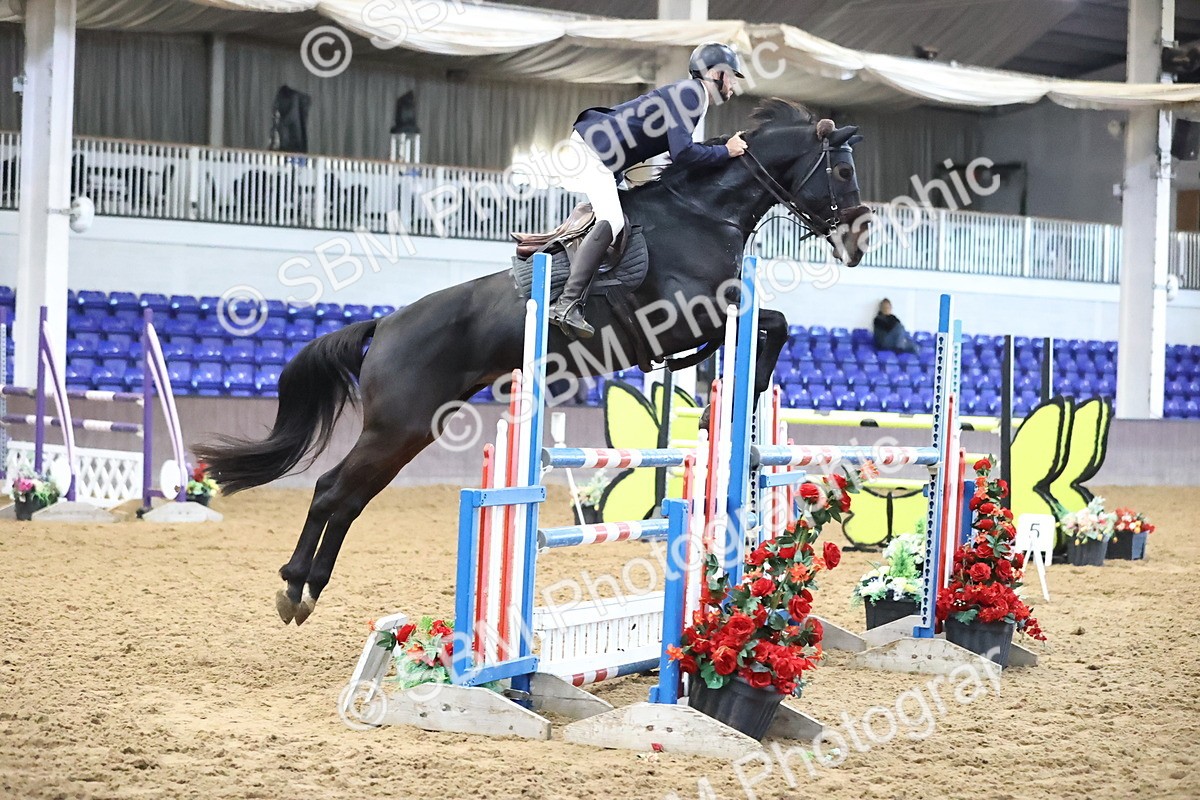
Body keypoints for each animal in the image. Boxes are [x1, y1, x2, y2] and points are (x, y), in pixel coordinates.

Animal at [196, 98, 871, 625]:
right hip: (399, 425)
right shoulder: (688, 315)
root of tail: (385, 324)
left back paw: (306, 588)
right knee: (334, 489)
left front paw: (724, 413)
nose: (860, 241)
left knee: (350, 495)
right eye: (841, 170)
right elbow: (775, 324)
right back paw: (294, 587)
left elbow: (770, 326)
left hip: (410, 431)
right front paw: (718, 414)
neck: (703, 214)